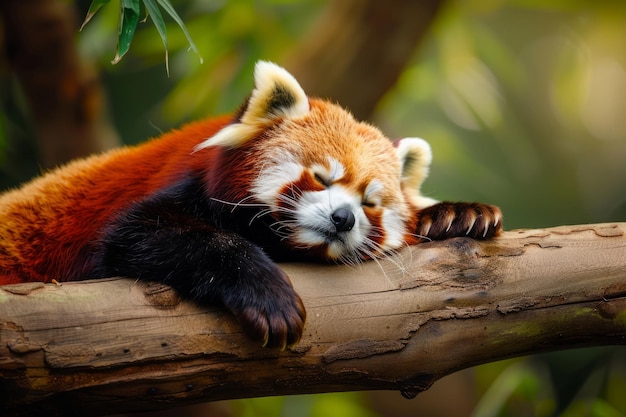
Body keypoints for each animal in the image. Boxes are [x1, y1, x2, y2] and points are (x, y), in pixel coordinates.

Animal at [0, 61, 500, 348]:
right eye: (322, 177)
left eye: (370, 203)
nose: (343, 218)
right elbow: (143, 235)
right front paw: (269, 297)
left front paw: (457, 216)